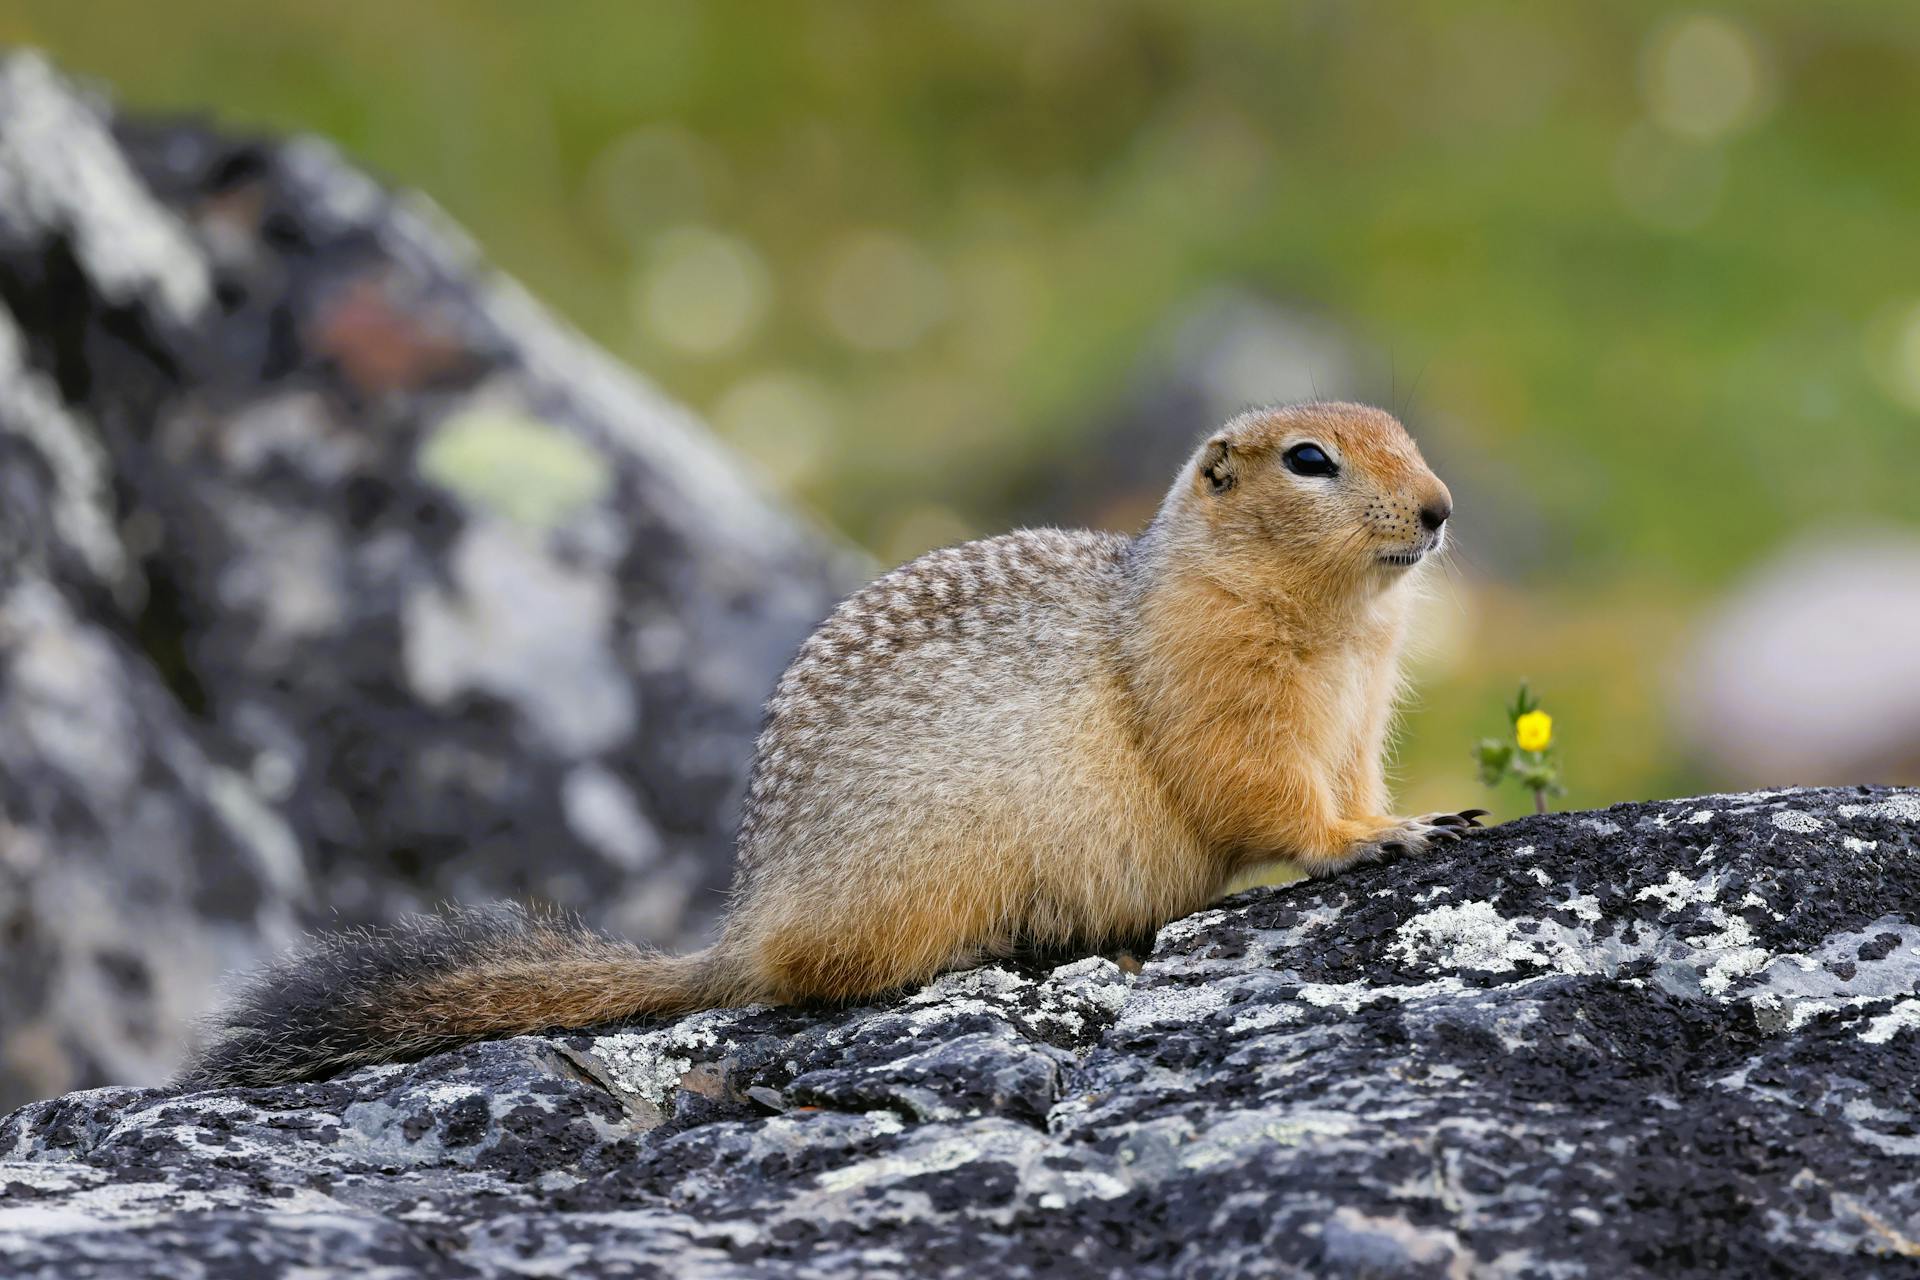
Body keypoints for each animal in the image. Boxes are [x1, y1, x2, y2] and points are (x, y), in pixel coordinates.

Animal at [191, 402, 1482, 1090]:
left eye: (1406, 431)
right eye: (1309, 459)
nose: (1441, 507)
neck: (1335, 626)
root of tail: (750, 918)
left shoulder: (1360, 715)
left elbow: (1353, 777)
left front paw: (1411, 814)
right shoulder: (1219, 686)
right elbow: (1256, 787)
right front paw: (1365, 842)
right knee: (823, 976)